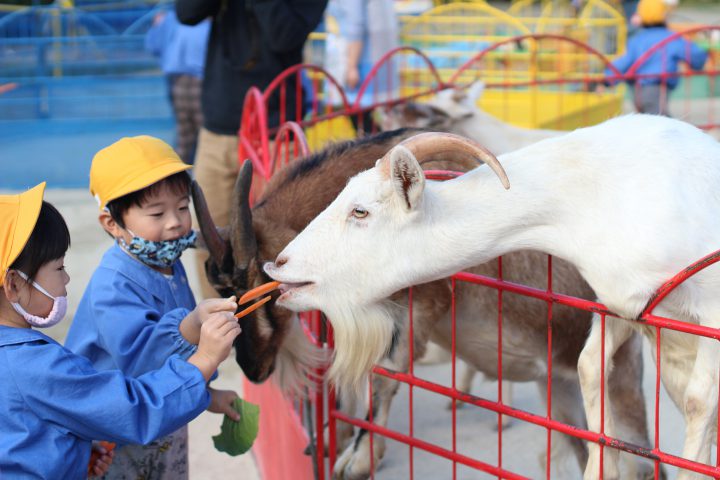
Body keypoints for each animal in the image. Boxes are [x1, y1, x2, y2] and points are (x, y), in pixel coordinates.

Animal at [191, 128, 660, 480]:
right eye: (222, 290)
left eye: (261, 284)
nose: (253, 368)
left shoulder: (422, 307)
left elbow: (386, 372)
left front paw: (359, 458)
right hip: (560, 392)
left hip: (622, 382)